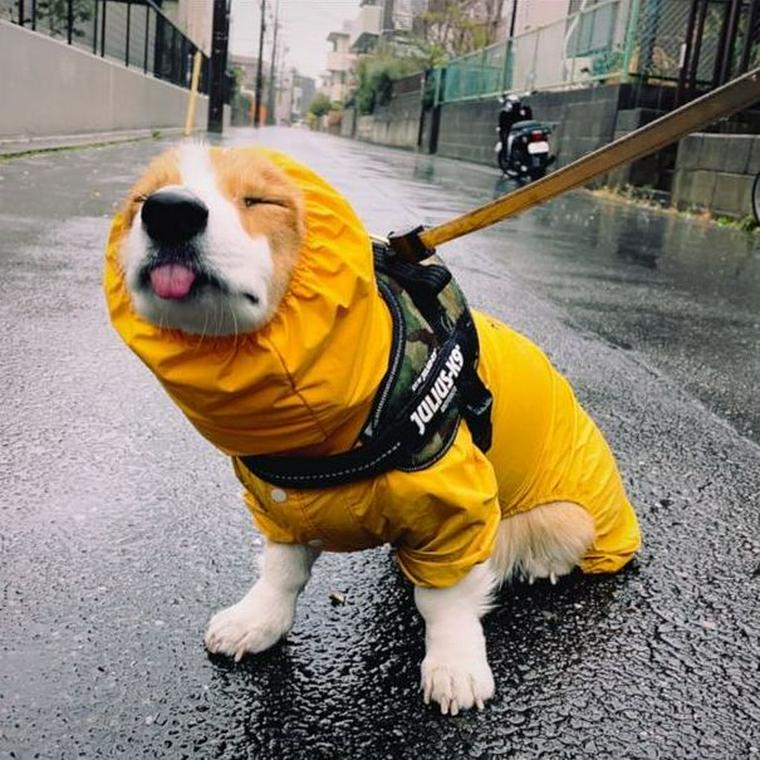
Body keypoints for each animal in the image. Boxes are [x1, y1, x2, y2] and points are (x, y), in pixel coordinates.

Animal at [104, 141, 640, 712]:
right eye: (140, 200)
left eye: (262, 200)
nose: (169, 212)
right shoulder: (278, 505)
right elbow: (281, 571)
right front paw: (257, 622)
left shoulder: (457, 509)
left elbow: (446, 601)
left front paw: (455, 667)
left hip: (568, 519)